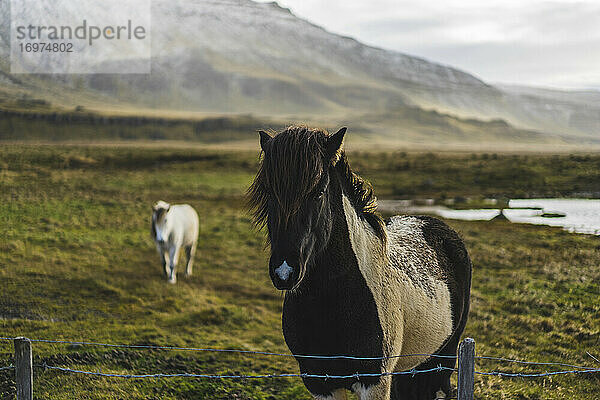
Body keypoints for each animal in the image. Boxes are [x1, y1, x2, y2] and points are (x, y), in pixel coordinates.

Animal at [246, 127, 472, 400]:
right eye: (269, 192)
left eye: (319, 191)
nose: (284, 271)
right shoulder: (319, 382)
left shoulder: (374, 381)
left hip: (442, 359)